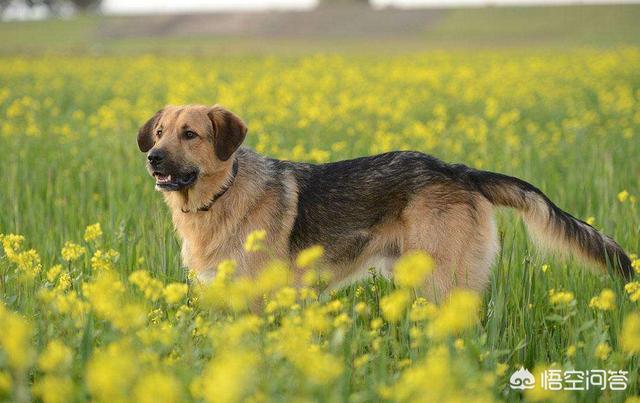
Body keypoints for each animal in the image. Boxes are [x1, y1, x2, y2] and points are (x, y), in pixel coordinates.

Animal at [138, 105, 632, 302]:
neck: (221, 195)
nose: (152, 157)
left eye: (190, 134)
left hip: (444, 281)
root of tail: (458, 169)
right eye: (160, 132)